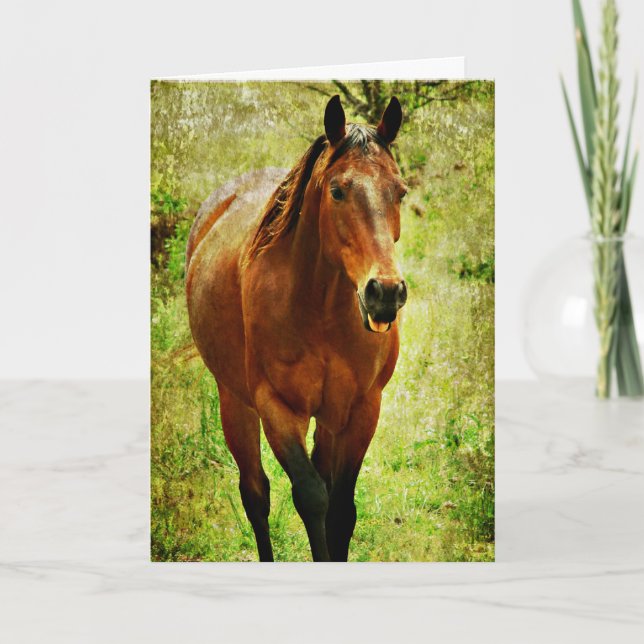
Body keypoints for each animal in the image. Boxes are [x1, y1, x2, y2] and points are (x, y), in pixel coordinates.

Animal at [186, 95, 408, 561]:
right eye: (337, 190)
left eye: (400, 191)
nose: (385, 292)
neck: (320, 310)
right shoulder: (277, 409)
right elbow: (312, 497)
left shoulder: (362, 408)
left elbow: (341, 508)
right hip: (234, 402)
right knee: (255, 494)